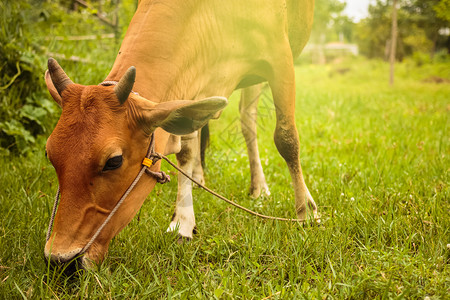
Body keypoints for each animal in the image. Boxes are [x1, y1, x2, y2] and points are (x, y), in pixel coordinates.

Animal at [43, 0, 316, 268]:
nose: (61, 260)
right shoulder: (190, 80)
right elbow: (185, 151)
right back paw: (199, 177)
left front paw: (306, 212)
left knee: (248, 121)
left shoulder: (280, 60)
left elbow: (286, 139)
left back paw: (259, 187)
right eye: (49, 155)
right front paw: (183, 221)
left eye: (114, 161)